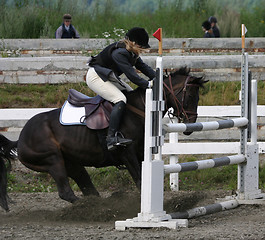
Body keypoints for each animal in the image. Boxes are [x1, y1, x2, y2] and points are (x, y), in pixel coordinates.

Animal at [0, 67, 206, 210]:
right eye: (189, 95)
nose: (191, 122)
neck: (140, 109)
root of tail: (20, 139)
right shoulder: (127, 155)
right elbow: (140, 181)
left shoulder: (140, 154)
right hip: (52, 160)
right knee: (66, 191)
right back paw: (93, 210)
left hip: (72, 164)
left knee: (87, 188)